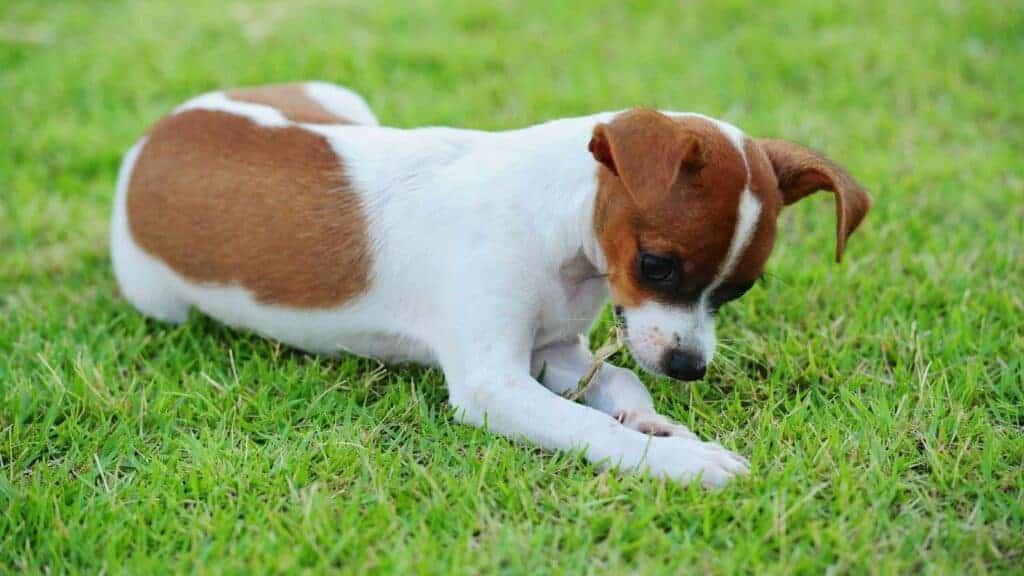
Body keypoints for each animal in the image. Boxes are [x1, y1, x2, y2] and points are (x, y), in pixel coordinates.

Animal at [116, 80, 872, 483]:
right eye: (656, 265)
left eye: (738, 290)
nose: (688, 368)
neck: (557, 234)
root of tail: (152, 138)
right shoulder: (494, 386)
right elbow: (588, 428)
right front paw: (685, 463)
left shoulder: (559, 352)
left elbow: (619, 382)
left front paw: (652, 421)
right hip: (159, 300)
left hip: (340, 103)